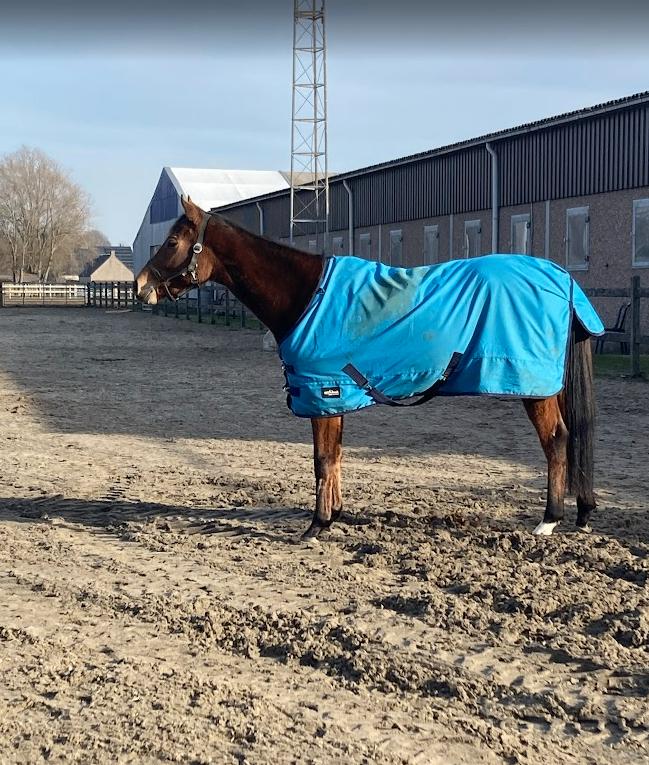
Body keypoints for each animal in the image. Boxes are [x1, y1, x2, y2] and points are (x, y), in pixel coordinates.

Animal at [135, 196, 600, 539]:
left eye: (173, 242)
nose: (140, 287)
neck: (308, 294)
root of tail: (561, 279)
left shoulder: (322, 390)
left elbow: (322, 459)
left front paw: (317, 526)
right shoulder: (335, 394)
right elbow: (335, 456)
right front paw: (334, 516)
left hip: (534, 388)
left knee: (556, 440)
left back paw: (548, 521)